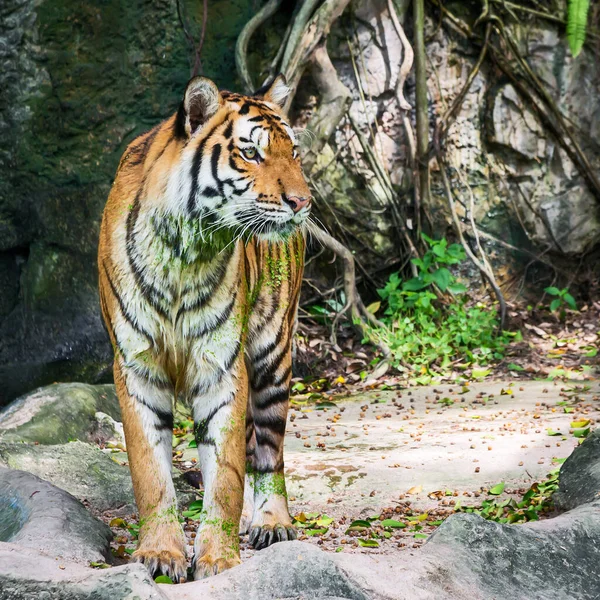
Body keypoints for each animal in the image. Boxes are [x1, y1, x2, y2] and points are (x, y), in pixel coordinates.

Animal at [96, 75, 312, 580]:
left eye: (293, 152)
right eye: (251, 153)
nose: (302, 203)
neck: (187, 248)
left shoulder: (222, 365)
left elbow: (227, 475)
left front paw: (218, 557)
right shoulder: (136, 367)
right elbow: (151, 473)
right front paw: (160, 553)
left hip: (273, 356)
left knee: (269, 450)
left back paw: (271, 522)